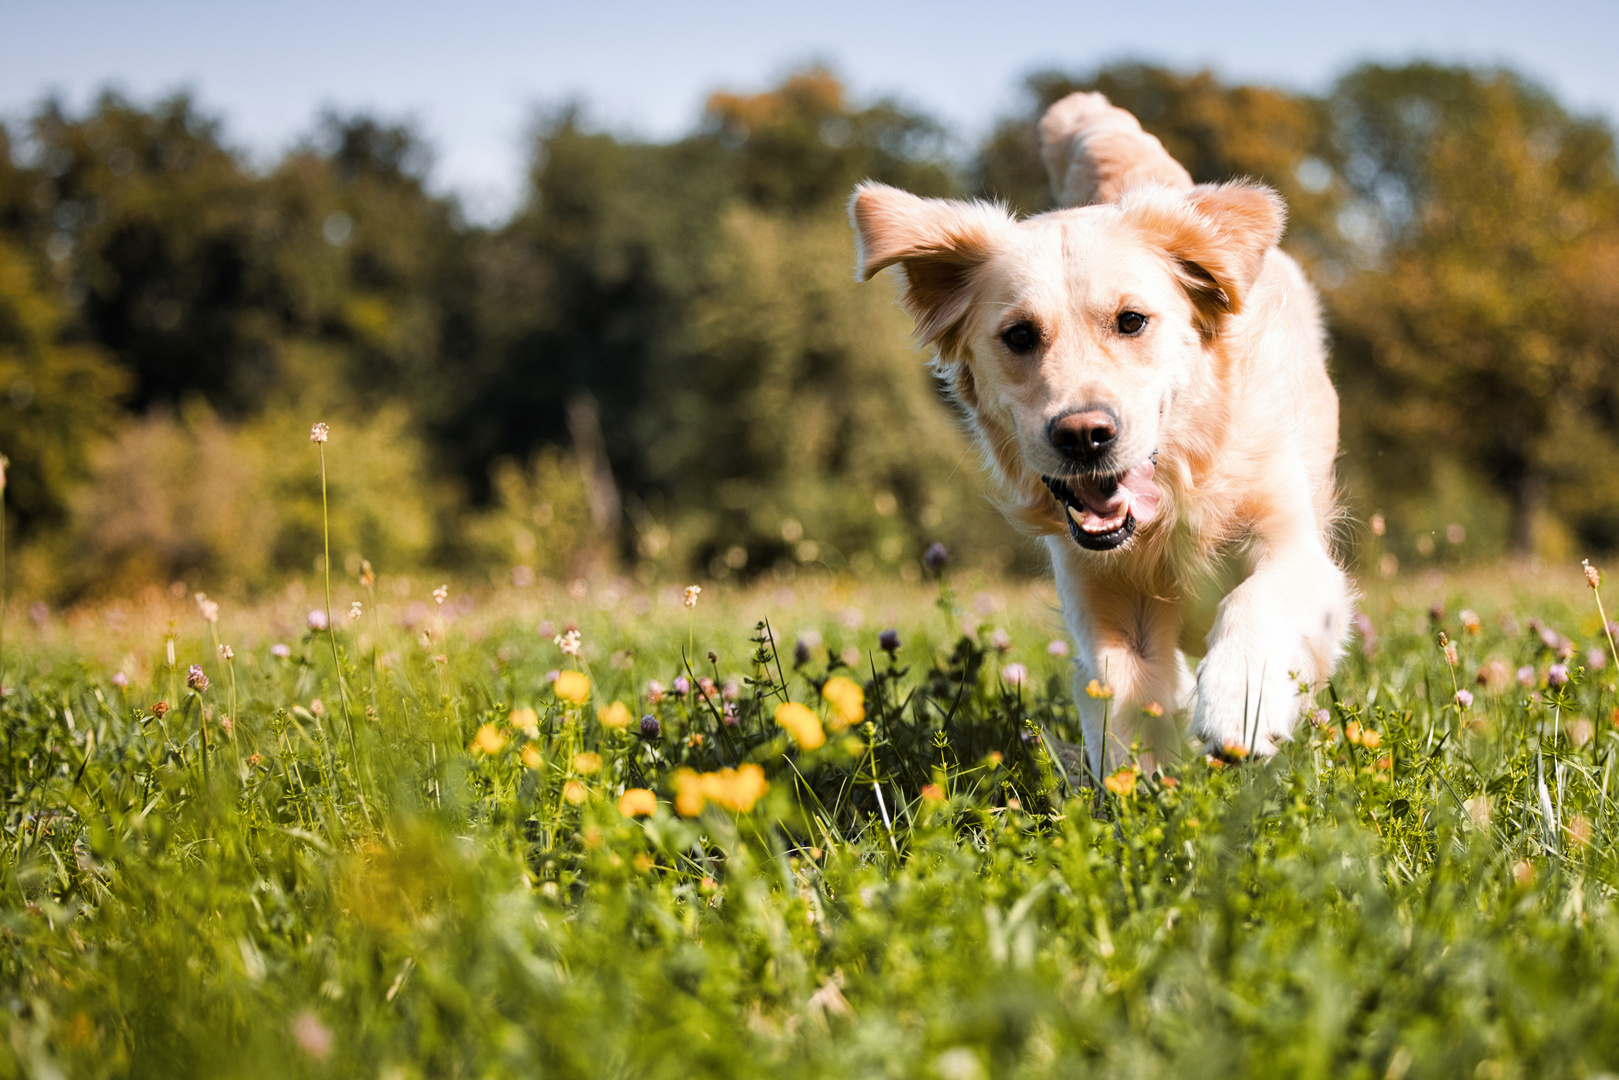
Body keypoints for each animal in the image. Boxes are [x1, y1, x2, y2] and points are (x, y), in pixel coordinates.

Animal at [854, 88, 1347, 773]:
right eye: (1019, 336)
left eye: (1131, 320)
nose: (1084, 435)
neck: (1169, 506)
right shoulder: (1096, 590)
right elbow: (1121, 688)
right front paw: (1144, 778)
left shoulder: (1295, 543)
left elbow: (1257, 598)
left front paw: (1238, 705)